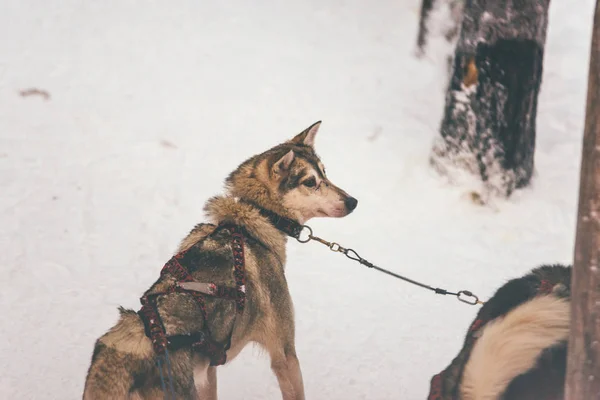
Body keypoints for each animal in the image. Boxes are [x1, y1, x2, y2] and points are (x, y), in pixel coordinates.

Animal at [84, 122, 356, 400]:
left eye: (325, 173)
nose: (353, 202)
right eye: (310, 182)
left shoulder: (208, 371)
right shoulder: (284, 354)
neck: (256, 215)